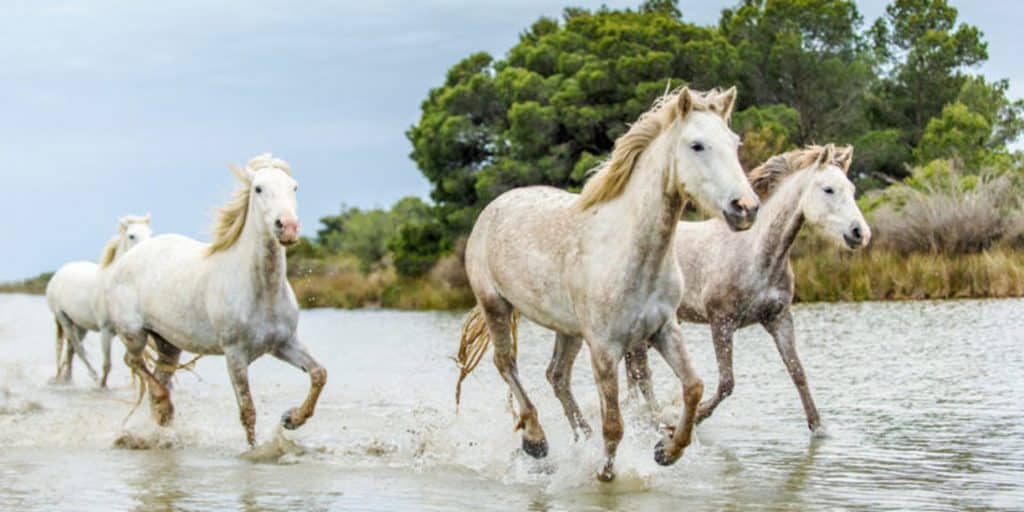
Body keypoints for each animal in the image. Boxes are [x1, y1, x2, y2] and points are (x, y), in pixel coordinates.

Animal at [45, 214, 152, 387]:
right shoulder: (106, 330)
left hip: (81, 325)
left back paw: (67, 378)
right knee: (78, 349)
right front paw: (102, 386)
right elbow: (107, 364)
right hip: (64, 320)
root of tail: (58, 274)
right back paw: (91, 376)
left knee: (71, 349)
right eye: (131, 236)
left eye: (150, 233)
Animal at [104, 154, 326, 447]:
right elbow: (248, 412)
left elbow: (318, 374)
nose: (287, 227)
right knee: (134, 363)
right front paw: (256, 450)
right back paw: (165, 408)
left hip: (168, 343)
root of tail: (126, 260)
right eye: (258, 189)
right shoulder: (235, 354)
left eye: (294, 187)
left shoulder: (283, 344)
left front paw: (291, 419)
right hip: (133, 333)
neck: (262, 290)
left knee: (159, 378)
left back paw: (162, 425)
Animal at [455, 87, 760, 482]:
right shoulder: (604, 347)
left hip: (568, 329)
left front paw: (666, 450)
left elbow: (693, 387)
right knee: (506, 363)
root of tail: (493, 207)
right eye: (697, 145)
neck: (631, 250)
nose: (746, 208)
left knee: (556, 376)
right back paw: (536, 441)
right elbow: (614, 424)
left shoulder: (663, 329)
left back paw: (579, 439)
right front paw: (604, 475)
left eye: (734, 143)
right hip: (496, 306)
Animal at [618, 144, 870, 433]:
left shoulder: (778, 318)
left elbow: (798, 373)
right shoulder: (722, 322)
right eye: (828, 189)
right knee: (641, 373)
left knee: (634, 371)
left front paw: (818, 428)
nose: (860, 233)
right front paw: (691, 418)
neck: (757, 253)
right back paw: (655, 419)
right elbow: (726, 384)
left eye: (851, 189)